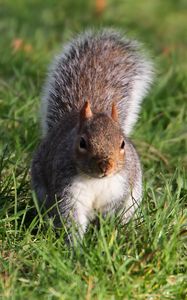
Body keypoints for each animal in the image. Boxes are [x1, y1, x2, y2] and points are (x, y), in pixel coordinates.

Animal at [31, 29, 153, 243]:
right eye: (82, 143)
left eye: (123, 143)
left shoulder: (120, 189)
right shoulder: (68, 191)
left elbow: (112, 212)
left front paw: (106, 235)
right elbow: (71, 218)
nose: (106, 166)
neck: (97, 180)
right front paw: (75, 247)